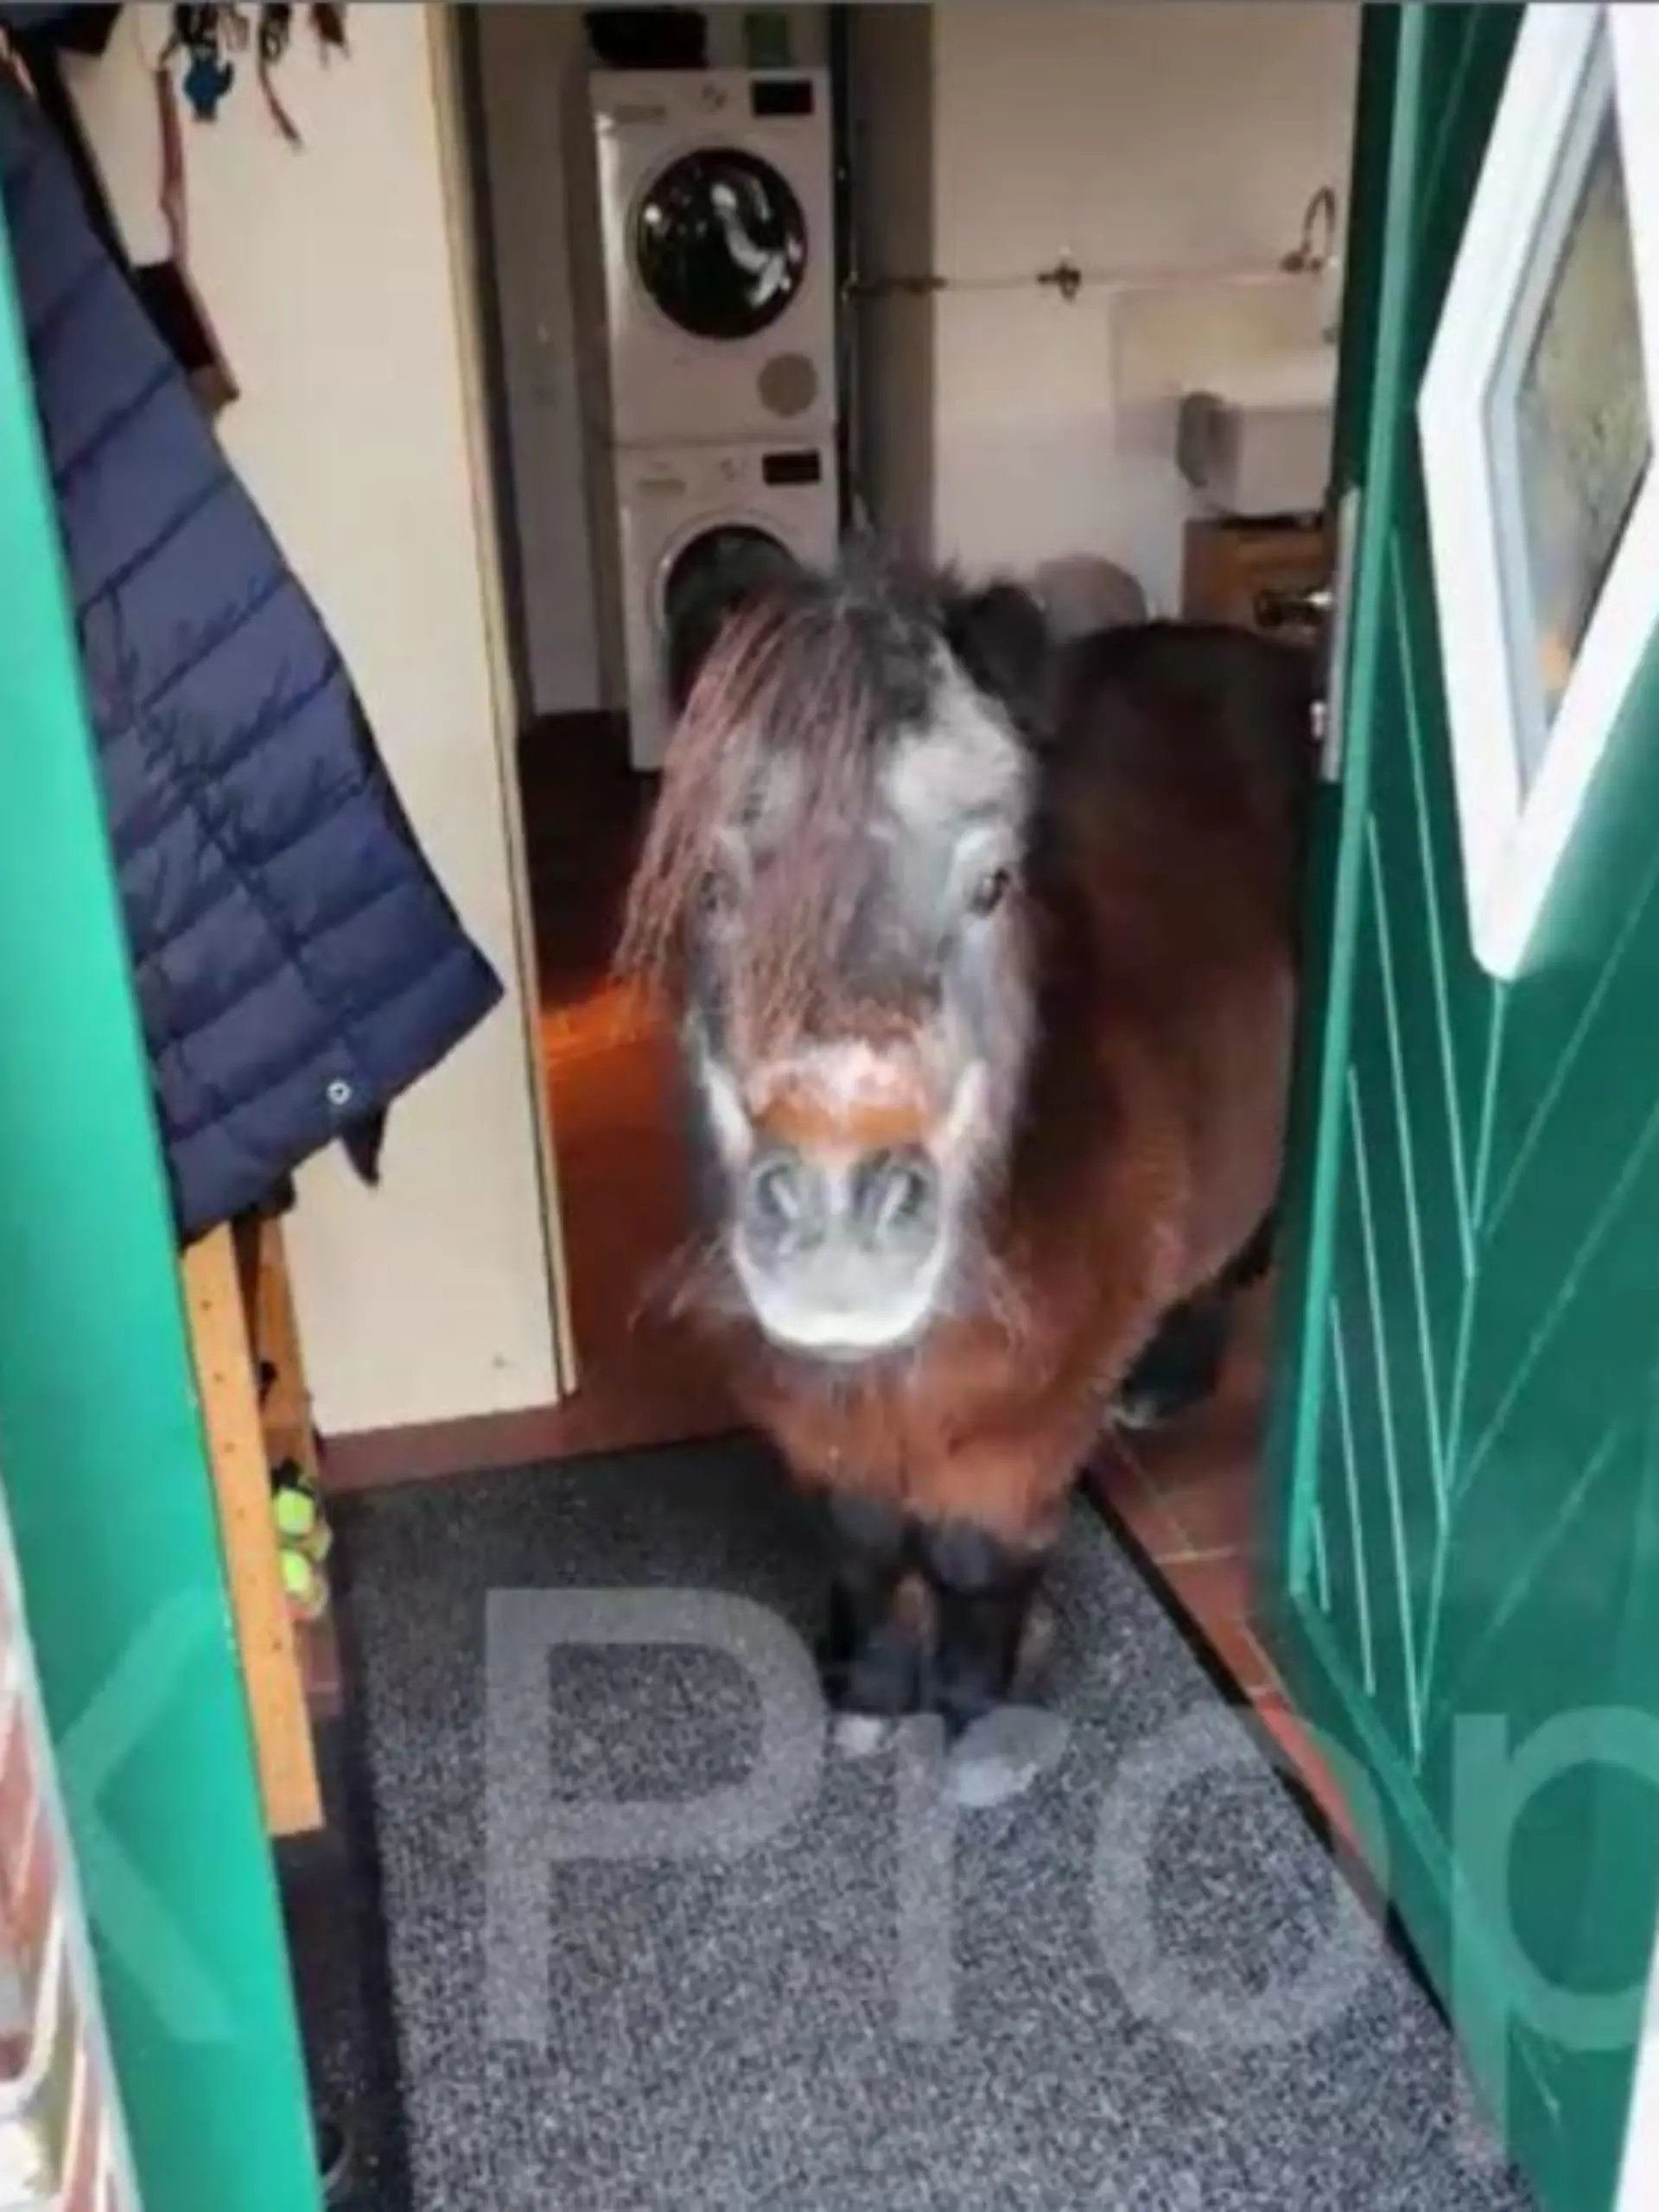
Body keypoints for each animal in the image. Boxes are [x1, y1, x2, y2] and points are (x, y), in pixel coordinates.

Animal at [621, 547, 1312, 1742]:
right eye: (712, 885)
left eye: (993, 884)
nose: (840, 1227)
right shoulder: (819, 1410)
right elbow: (861, 1539)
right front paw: (865, 1688)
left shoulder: (1030, 1419)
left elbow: (970, 1554)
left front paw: (972, 1707)